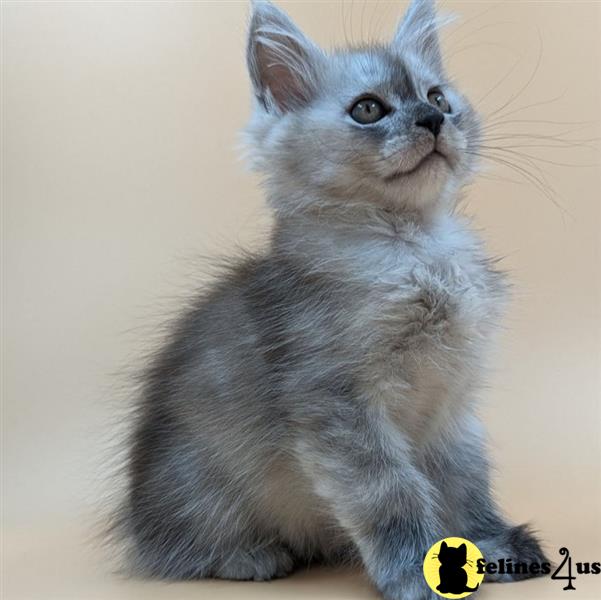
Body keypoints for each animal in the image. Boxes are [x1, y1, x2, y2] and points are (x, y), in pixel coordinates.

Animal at [113, 1, 548, 600]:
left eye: (437, 98)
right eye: (368, 109)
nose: (432, 120)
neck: (415, 250)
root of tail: (133, 518)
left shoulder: (452, 403)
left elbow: (466, 480)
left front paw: (491, 542)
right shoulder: (337, 406)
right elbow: (392, 493)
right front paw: (415, 567)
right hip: (200, 484)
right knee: (176, 552)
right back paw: (248, 556)